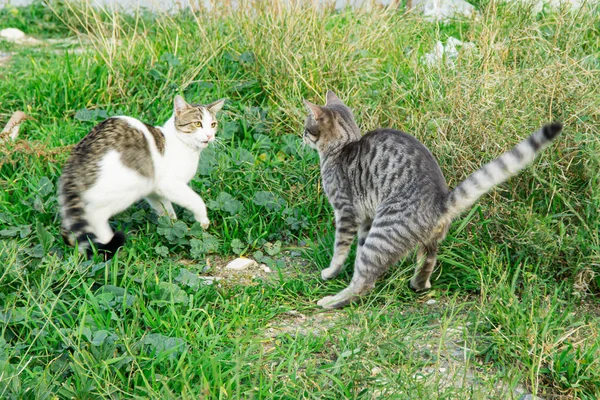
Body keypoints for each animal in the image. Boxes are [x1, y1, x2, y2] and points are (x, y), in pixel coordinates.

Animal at [58, 95, 225, 260]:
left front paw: (171, 224)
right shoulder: (169, 184)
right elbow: (197, 201)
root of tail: (76, 159)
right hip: (125, 190)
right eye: (197, 124)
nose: (210, 135)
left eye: (213, 124)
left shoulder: (154, 191)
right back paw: (108, 244)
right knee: (95, 214)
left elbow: (166, 210)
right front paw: (203, 221)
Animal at [304, 90, 564, 310]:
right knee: (427, 262)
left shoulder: (346, 212)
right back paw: (419, 284)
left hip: (383, 232)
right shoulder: (366, 218)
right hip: (423, 240)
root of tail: (440, 202)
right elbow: (358, 246)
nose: (302, 136)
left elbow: (340, 249)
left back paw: (332, 301)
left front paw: (331, 271)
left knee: (364, 283)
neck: (343, 146)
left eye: (307, 128)